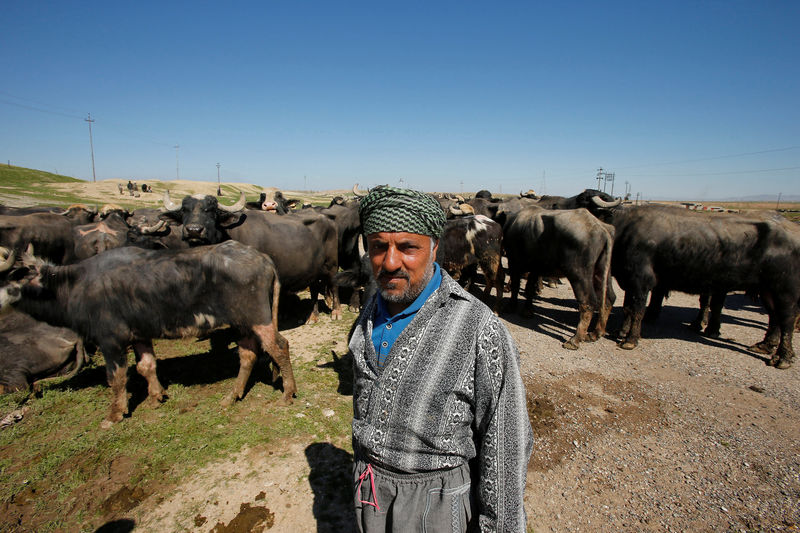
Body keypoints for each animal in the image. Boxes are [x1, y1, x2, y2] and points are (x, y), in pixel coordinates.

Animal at [0, 241, 294, 428]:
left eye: (9, 274)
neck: (75, 286)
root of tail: (263, 258)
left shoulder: (111, 340)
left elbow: (116, 378)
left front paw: (114, 414)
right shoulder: (140, 336)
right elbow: (146, 366)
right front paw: (155, 397)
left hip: (258, 317)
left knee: (279, 346)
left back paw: (287, 393)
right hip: (243, 322)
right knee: (248, 354)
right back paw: (232, 395)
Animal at [161, 190, 340, 320]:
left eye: (212, 211)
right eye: (184, 210)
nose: (194, 230)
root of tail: (327, 219)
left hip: (332, 265)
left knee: (333, 285)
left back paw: (335, 312)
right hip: (313, 270)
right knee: (314, 289)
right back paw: (312, 316)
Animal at [504, 205, 616, 350]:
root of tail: (602, 230)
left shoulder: (513, 261)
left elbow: (516, 285)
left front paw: (510, 306)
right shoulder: (535, 267)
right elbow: (529, 288)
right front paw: (527, 310)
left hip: (578, 274)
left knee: (588, 302)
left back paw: (575, 339)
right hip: (602, 271)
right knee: (609, 298)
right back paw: (596, 333)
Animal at [580, 195, 800, 366]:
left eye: (584, 202)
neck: (626, 226)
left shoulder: (641, 280)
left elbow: (637, 310)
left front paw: (631, 340)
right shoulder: (630, 280)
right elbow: (628, 308)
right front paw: (621, 331)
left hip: (785, 290)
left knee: (787, 319)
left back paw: (783, 358)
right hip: (768, 290)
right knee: (775, 317)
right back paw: (765, 345)